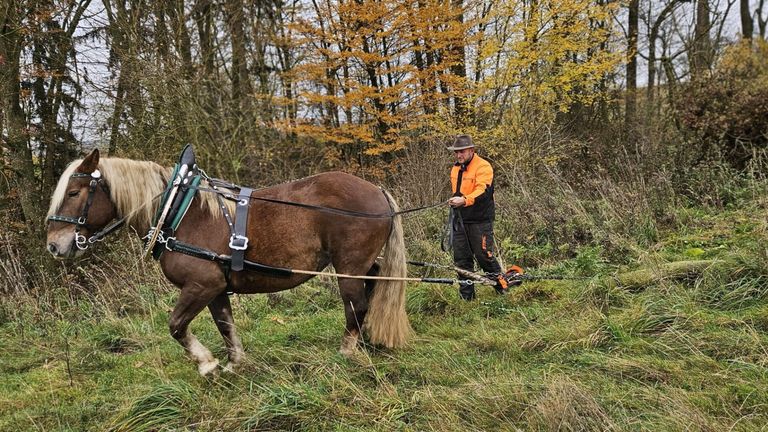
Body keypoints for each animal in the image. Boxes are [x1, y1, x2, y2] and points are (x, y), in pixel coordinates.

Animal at [46, 149, 411, 375]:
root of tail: (377, 191)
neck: (178, 212)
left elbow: (176, 325)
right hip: (360, 265)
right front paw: (236, 363)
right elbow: (226, 326)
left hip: (348, 266)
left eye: (75, 193)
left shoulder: (201, 285)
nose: (54, 245)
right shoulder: (216, 289)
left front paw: (206, 364)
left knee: (356, 305)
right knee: (373, 286)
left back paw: (348, 351)